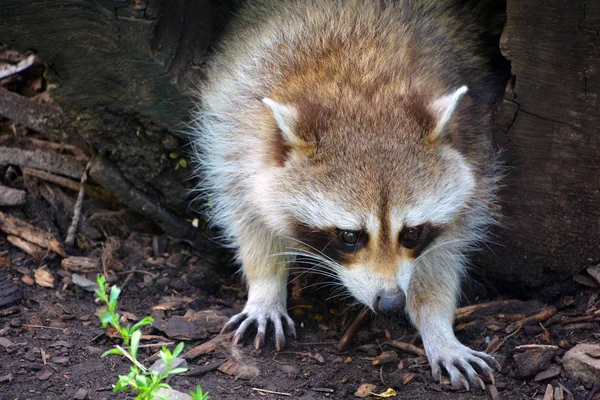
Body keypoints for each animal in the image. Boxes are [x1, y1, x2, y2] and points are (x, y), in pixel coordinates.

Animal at [190, 0, 504, 388]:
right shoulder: (234, 135)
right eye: (350, 236)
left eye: (411, 233)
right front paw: (265, 287)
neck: (363, 84)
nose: (391, 302)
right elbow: (249, 219)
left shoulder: (474, 154)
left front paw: (437, 325)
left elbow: (443, 254)